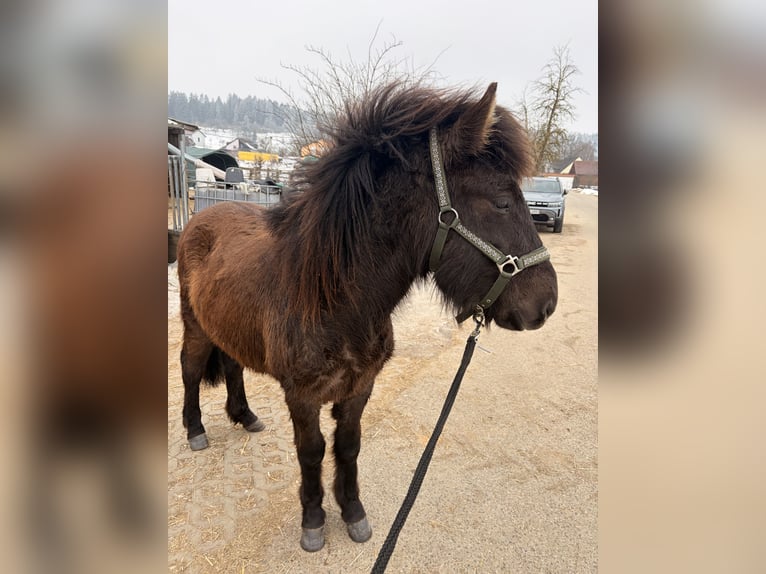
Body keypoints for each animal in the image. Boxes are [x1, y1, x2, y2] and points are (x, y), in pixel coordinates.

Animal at [175, 81, 558, 552]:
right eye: (502, 202)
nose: (546, 303)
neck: (334, 300)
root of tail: (203, 215)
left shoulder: (360, 388)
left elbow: (348, 447)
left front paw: (353, 513)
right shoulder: (302, 396)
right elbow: (312, 452)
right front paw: (313, 521)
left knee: (232, 364)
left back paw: (245, 416)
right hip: (194, 325)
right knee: (191, 370)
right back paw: (195, 430)